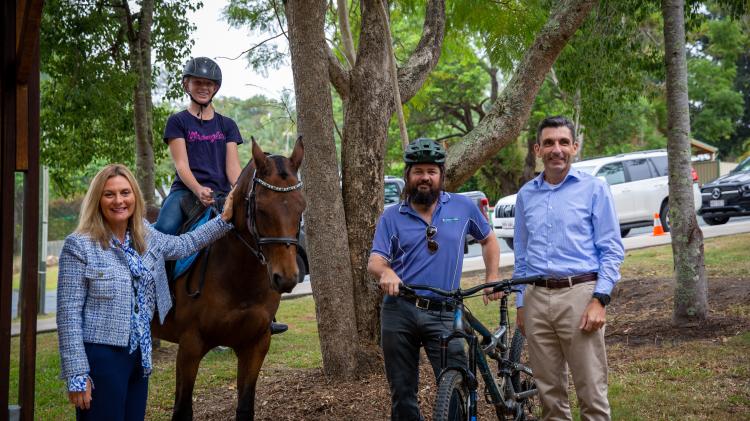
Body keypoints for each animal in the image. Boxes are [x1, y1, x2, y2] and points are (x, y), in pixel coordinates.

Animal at [151, 136, 306, 418]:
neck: (239, 279)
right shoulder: (189, 348)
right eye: (261, 209)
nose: (286, 278)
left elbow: (245, 407)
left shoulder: (255, 345)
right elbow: (182, 410)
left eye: (302, 206)